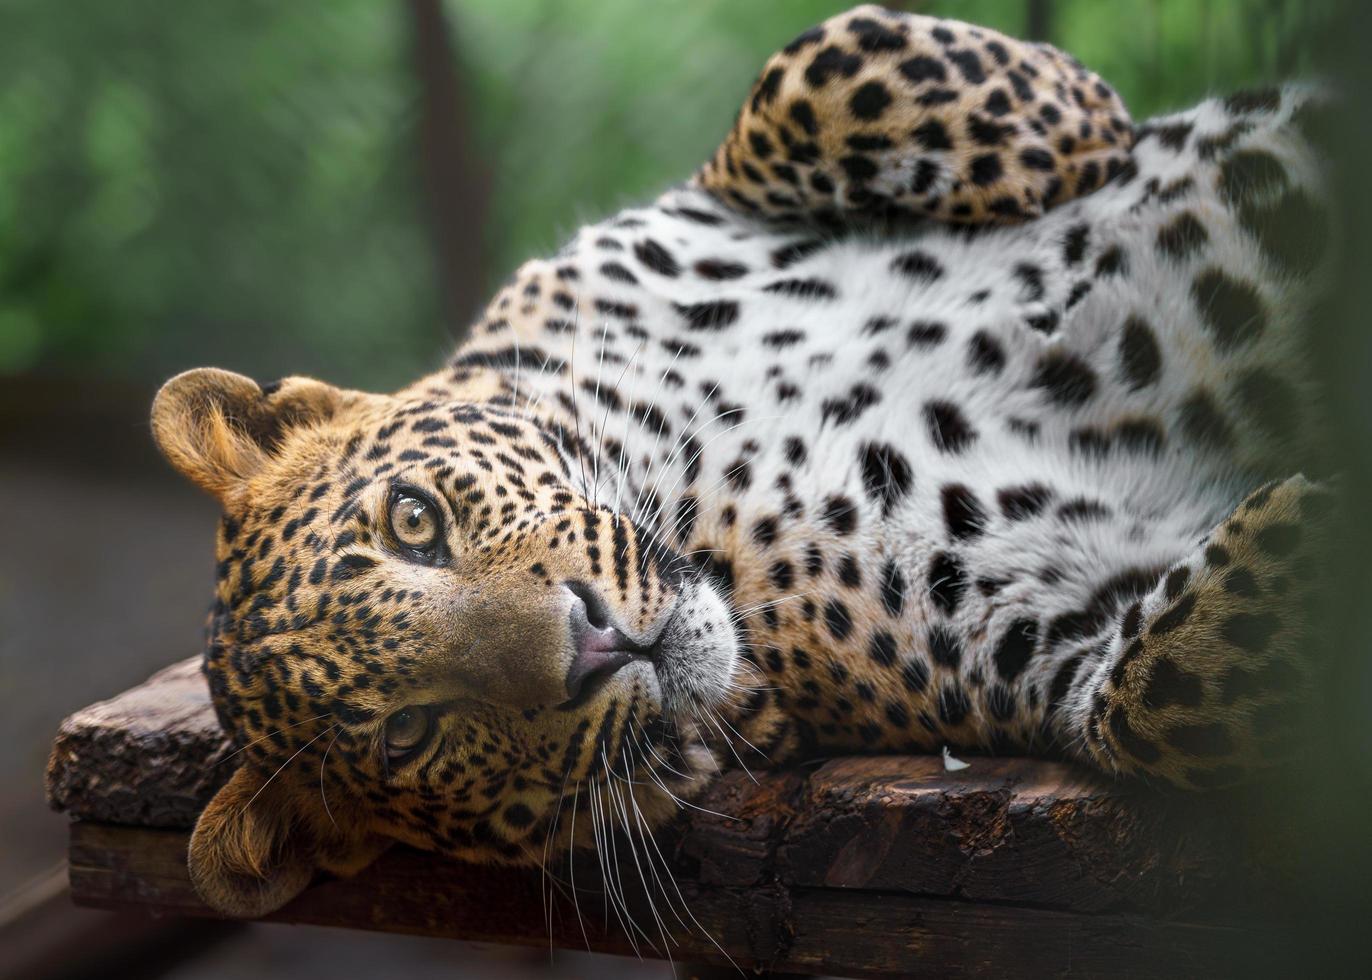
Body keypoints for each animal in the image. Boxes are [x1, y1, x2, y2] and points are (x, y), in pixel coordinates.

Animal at [144, 7, 1333, 922]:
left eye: (413, 520)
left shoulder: (699, 200)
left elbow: (823, 60)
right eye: (406, 734)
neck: (692, 477)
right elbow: (1166, 681)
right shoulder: (1055, 635)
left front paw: (1083, 120)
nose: (592, 642)